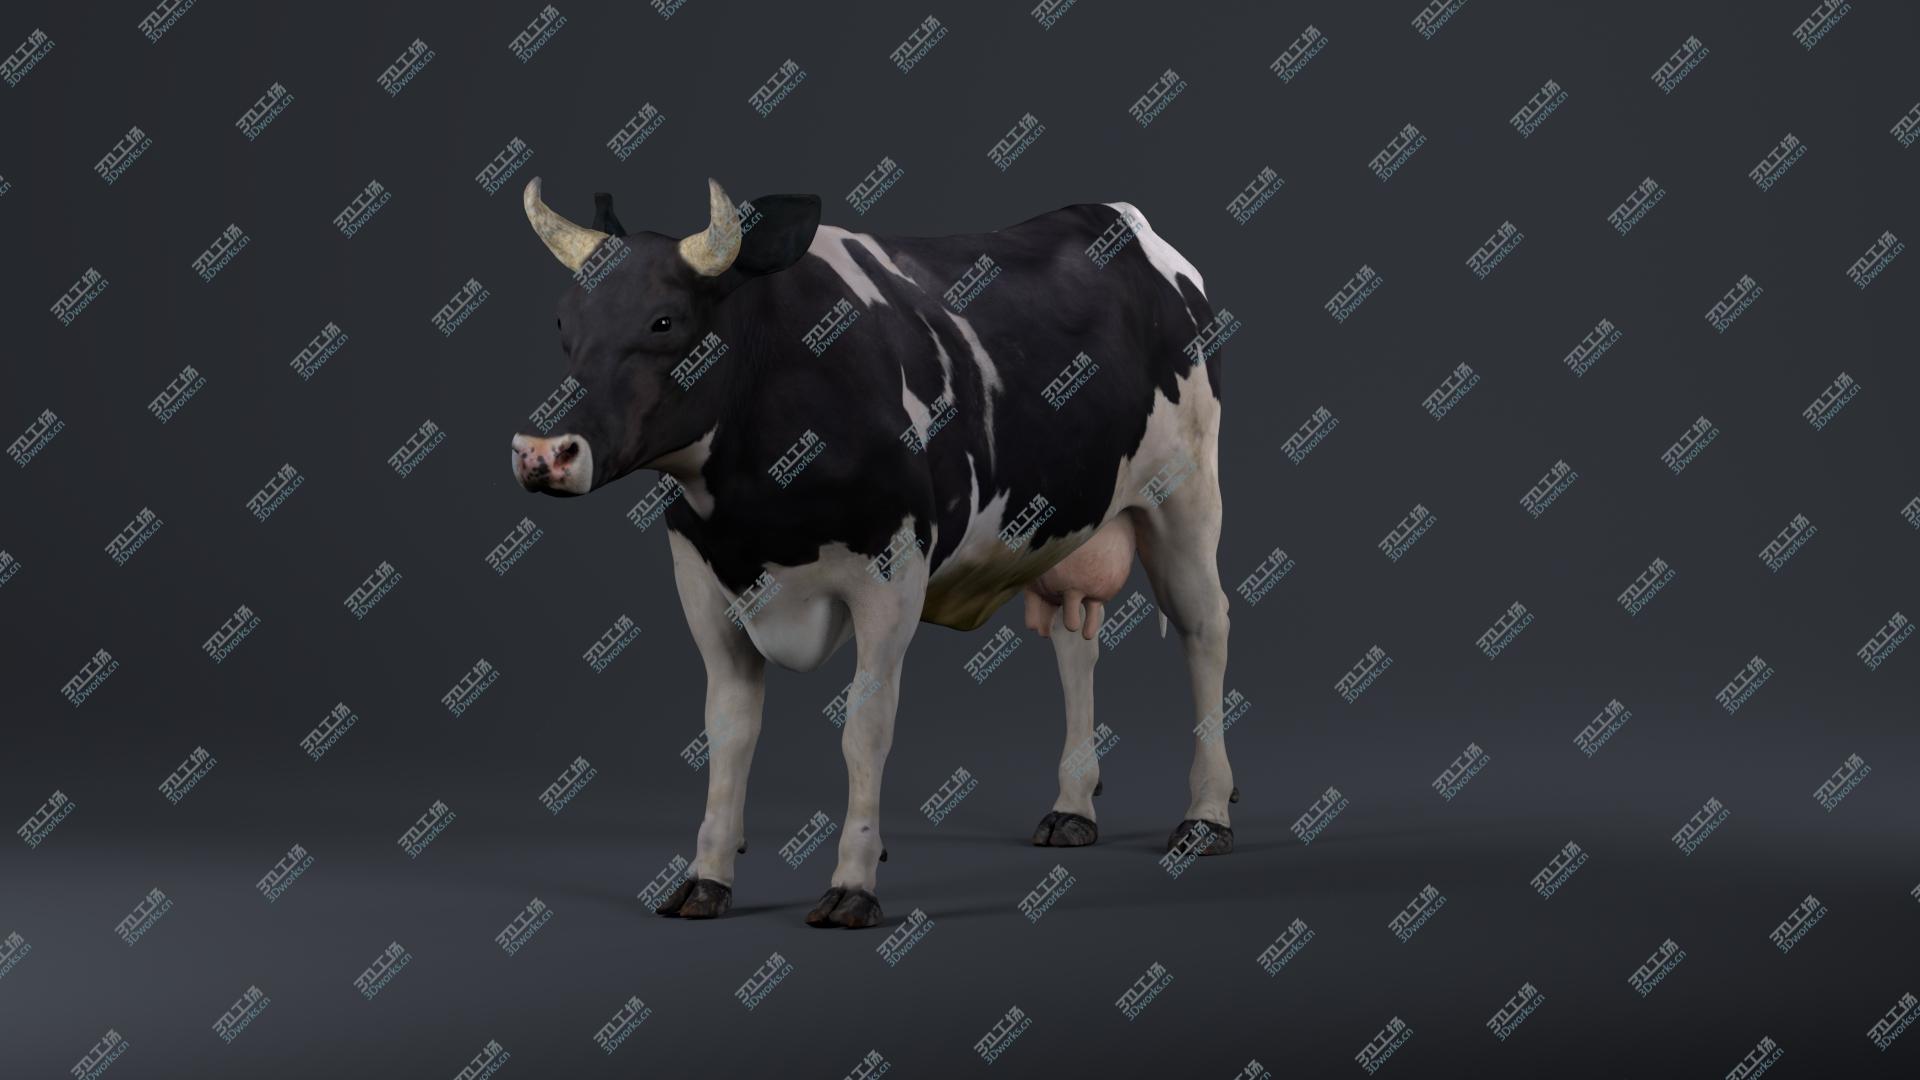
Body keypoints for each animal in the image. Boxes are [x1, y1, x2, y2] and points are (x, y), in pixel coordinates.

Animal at [509, 176, 1237, 928]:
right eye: (563, 323)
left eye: (664, 321)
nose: (542, 453)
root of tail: (1116, 217)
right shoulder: (701, 577)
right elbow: (728, 730)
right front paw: (706, 877)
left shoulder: (893, 574)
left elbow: (864, 729)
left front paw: (853, 883)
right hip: (1065, 525)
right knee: (1075, 643)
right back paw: (1072, 808)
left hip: (1186, 491)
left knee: (1204, 625)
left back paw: (1206, 816)